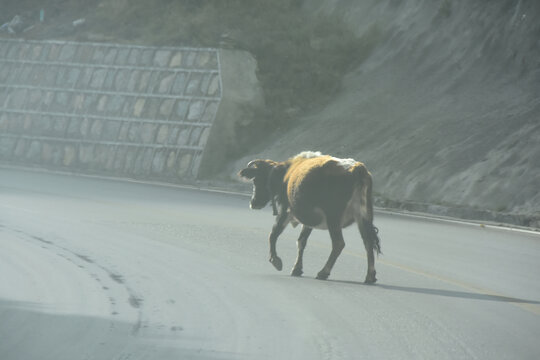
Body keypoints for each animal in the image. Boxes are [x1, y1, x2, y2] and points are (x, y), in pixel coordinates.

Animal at [238, 150, 382, 282]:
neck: (285, 174)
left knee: (338, 243)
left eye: (256, 180)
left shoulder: (286, 210)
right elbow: (301, 241)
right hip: (364, 217)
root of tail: (357, 167)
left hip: (333, 218)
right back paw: (370, 276)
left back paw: (323, 272)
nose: (253, 203)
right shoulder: (308, 220)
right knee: (368, 242)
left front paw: (275, 260)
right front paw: (297, 268)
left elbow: (273, 234)